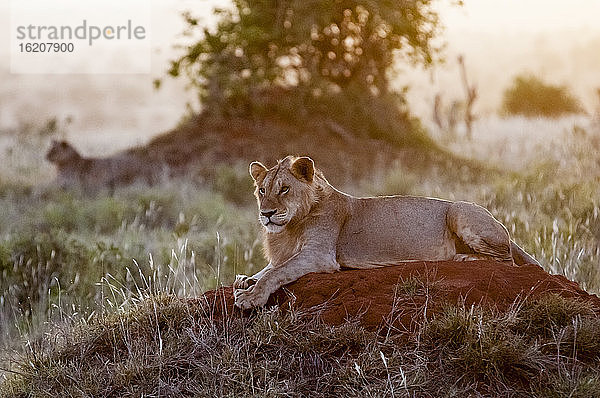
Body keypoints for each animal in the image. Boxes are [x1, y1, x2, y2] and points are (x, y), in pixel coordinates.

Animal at [233, 154, 540, 310]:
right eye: (262, 191)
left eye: (284, 189)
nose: (266, 214)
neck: (289, 227)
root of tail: (503, 227)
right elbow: (268, 268)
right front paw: (245, 280)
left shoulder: (319, 256)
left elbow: (276, 273)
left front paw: (250, 297)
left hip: (458, 210)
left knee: (507, 261)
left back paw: (463, 258)